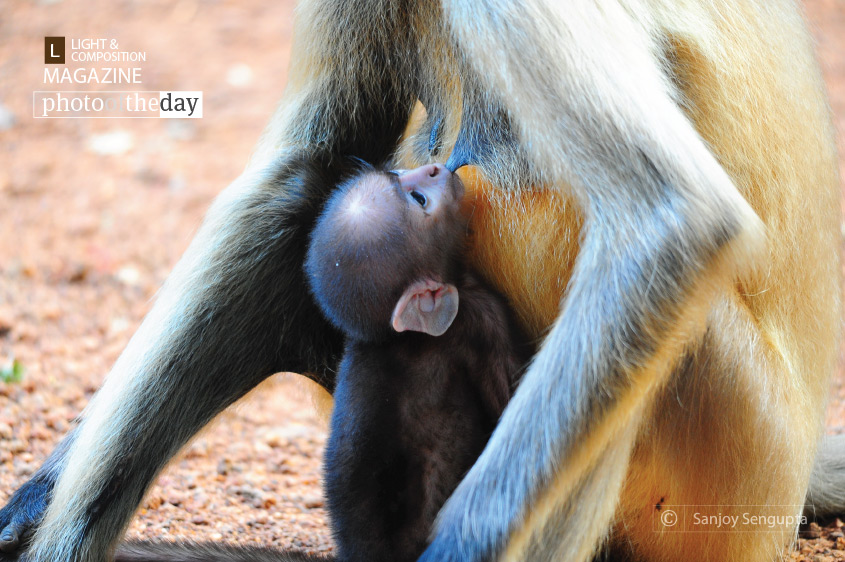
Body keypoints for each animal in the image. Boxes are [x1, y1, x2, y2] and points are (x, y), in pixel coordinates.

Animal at [304, 162, 528, 560]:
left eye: (397, 173)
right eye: (419, 200)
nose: (435, 166)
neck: (403, 339)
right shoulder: (482, 313)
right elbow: (506, 394)